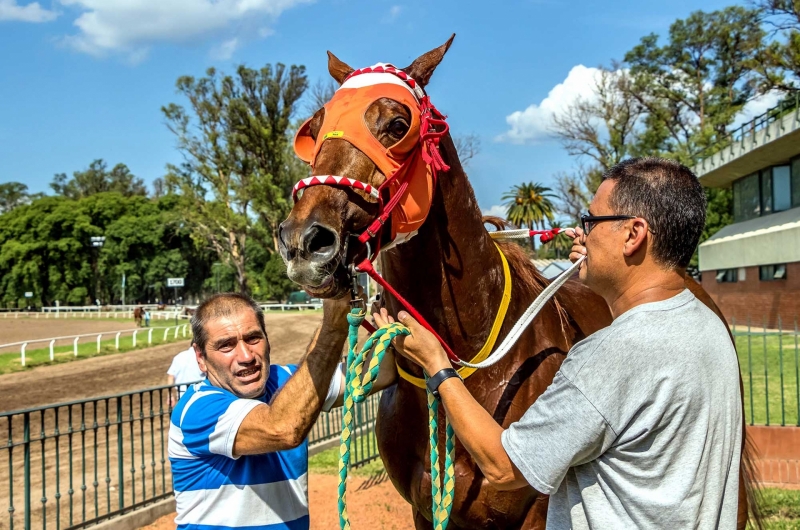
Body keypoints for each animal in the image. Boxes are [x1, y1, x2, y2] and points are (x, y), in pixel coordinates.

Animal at [278, 38, 760, 528]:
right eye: (313, 130)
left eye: (398, 124)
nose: (303, 240)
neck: (476, 363)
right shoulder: (425, 511)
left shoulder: (536, 509)